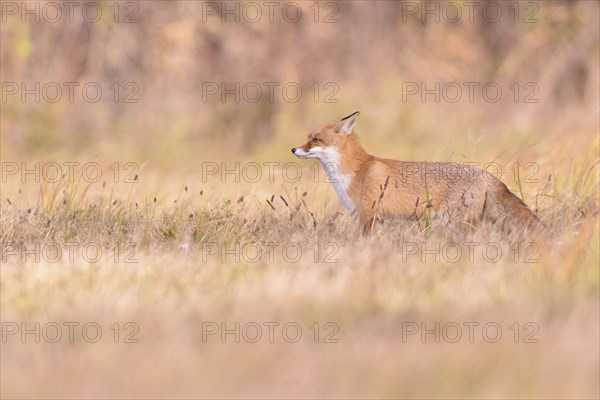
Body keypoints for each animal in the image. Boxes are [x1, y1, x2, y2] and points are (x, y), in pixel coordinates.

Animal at [292, 111, 548, 236]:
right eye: (307, 137)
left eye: (315, 139)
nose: (293, 149)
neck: (355, 171)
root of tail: (485, 173)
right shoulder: (376, 220)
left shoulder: (368, 217)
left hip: (457, 221)